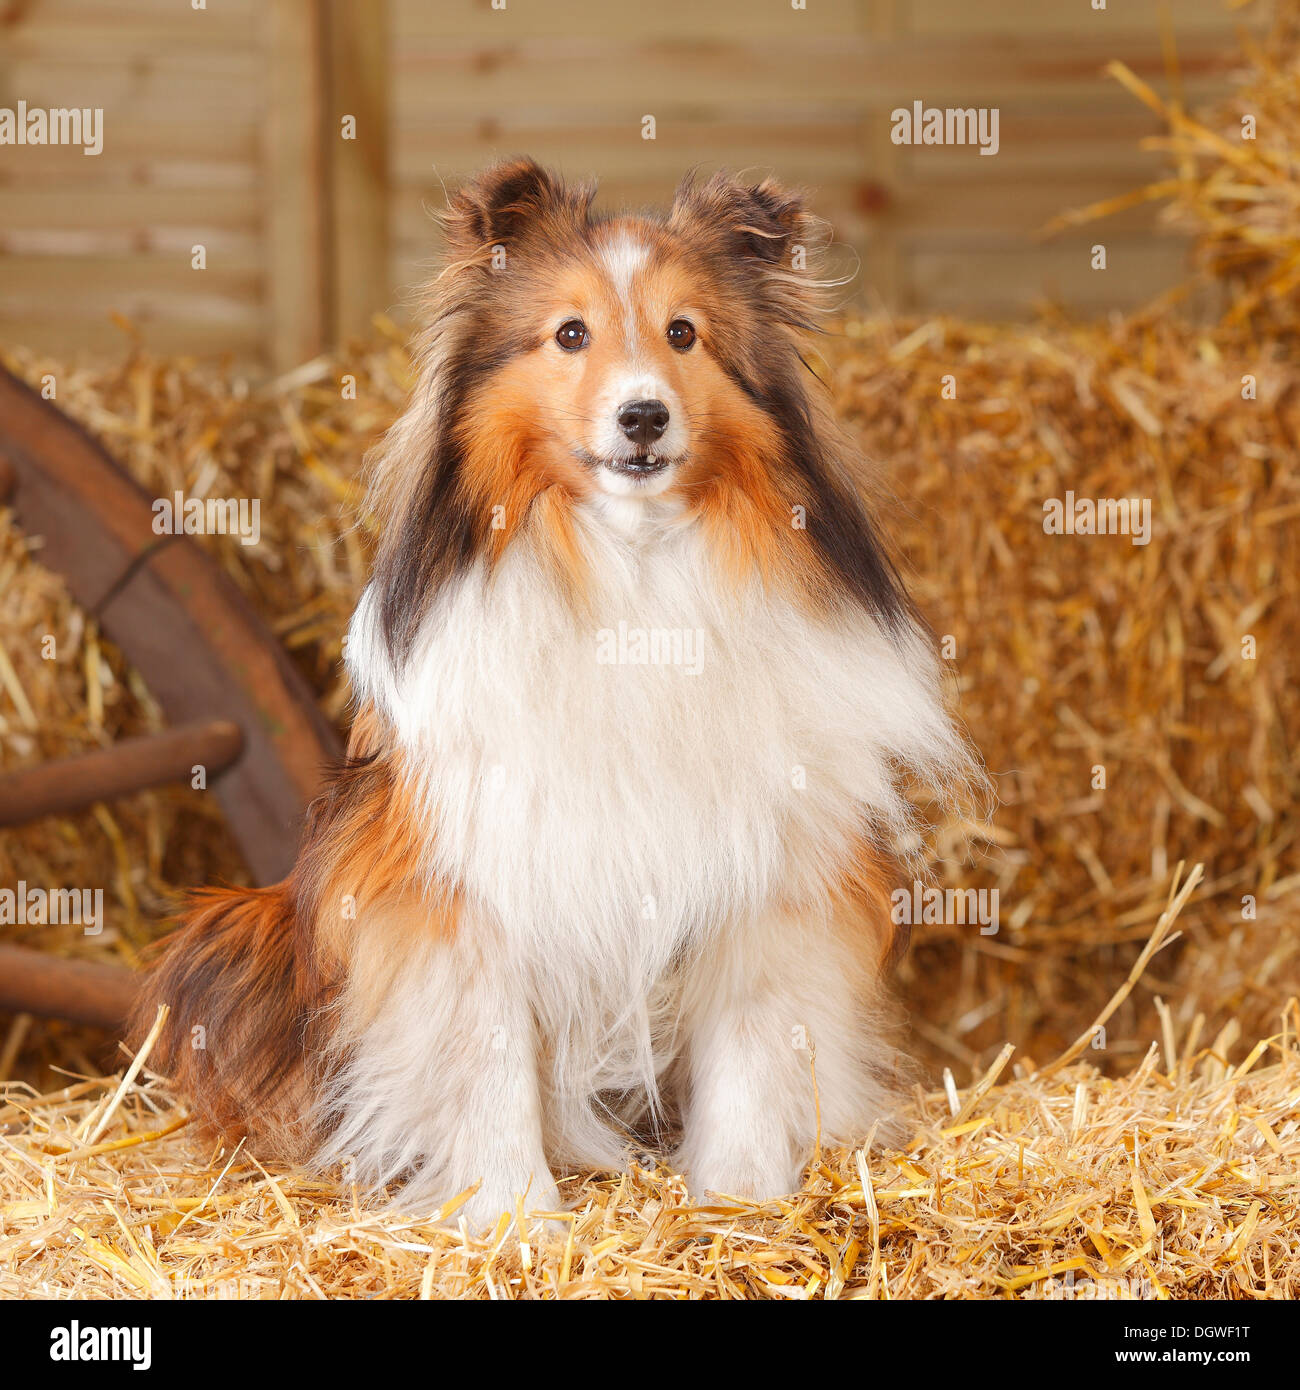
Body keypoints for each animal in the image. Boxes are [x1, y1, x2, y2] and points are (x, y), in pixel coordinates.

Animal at [139, 157, 978, 1234]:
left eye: (683, 333)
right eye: (569, 334)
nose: (643, 417)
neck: (633, 578)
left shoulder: (770, 867)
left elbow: (750, 1044)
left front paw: (739, 1201)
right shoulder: (468, 875)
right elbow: (485, 1056)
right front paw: (513, 1221)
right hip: (239, 931)